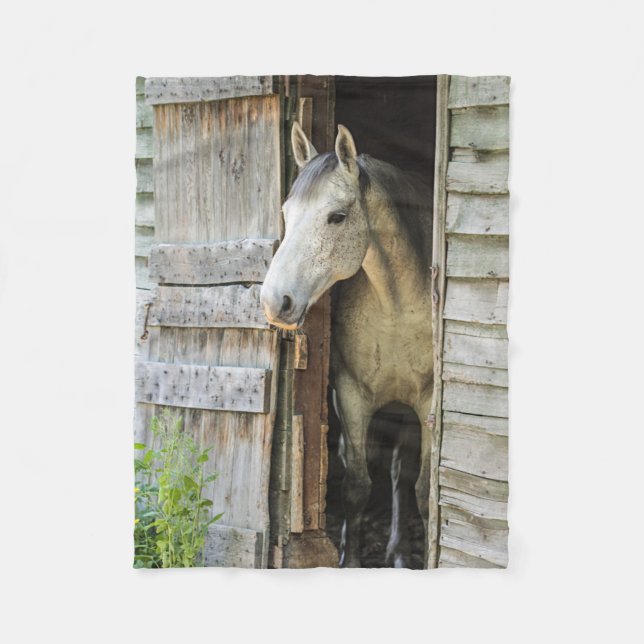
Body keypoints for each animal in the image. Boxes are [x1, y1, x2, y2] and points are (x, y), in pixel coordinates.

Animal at [260, 121, 434, 568]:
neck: (395, 307)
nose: (274, 302)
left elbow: (426, 491)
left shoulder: (427, 404)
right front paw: (347, 558)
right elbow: (357, 485)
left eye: (336, 217)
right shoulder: (352, 395)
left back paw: (399, 553)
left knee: (400, 474)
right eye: (286, 213)